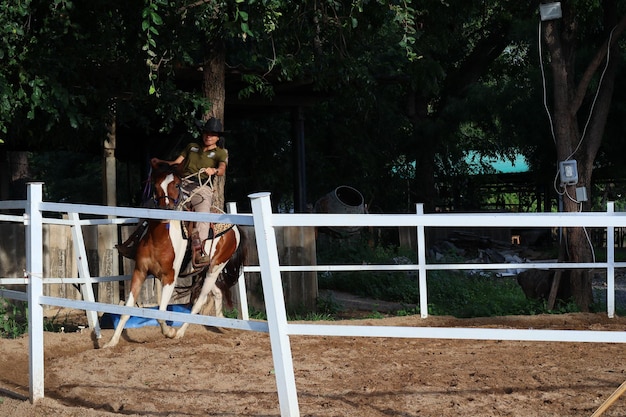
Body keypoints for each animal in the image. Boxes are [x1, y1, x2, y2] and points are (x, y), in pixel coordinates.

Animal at [101, 161, 245, 346]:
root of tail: (234, 227)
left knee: (199, 301)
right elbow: (126, 310)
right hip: (204, 271)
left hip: (216, 268)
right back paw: (221, 323)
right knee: (217, 293)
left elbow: (161, 312)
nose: (165, 209)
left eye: (176, 184)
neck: (160, 239)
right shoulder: (140, 272)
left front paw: (169, 331)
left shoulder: (170, 277)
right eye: (155, 186)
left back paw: (180, 333)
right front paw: (112, 342)